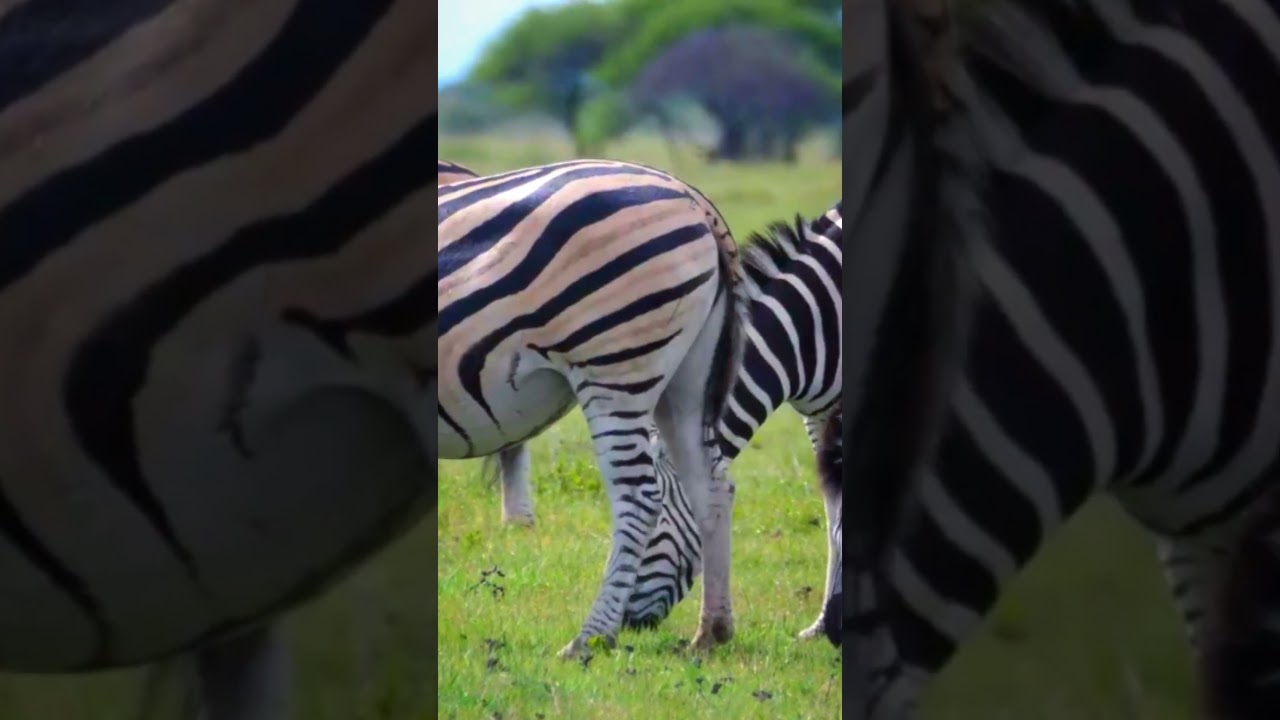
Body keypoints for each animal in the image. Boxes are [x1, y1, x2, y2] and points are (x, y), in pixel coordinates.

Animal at [438, 158, 750, 658]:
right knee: (712, 487)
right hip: (687, 380)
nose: (638, 623)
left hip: (614, 364)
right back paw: (711, 633)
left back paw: (590, 638)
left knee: (639, 496)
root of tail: (692, 197)